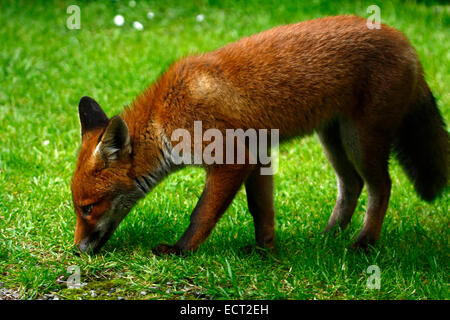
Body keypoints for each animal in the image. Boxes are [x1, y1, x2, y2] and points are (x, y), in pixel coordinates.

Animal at [72, 15, 448, 255]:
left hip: (362, 140)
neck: (166, 114)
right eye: (77, 208)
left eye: (88, 208)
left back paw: (364, 243)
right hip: (333, 138)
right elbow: (261, 211)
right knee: (352, 185)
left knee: (381, 187)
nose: (76, 251)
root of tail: (406, 42)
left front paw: (181, 250)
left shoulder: (233, 159)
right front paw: (264, 251)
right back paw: (328, 238)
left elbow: (201, 214)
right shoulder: (258, 156)